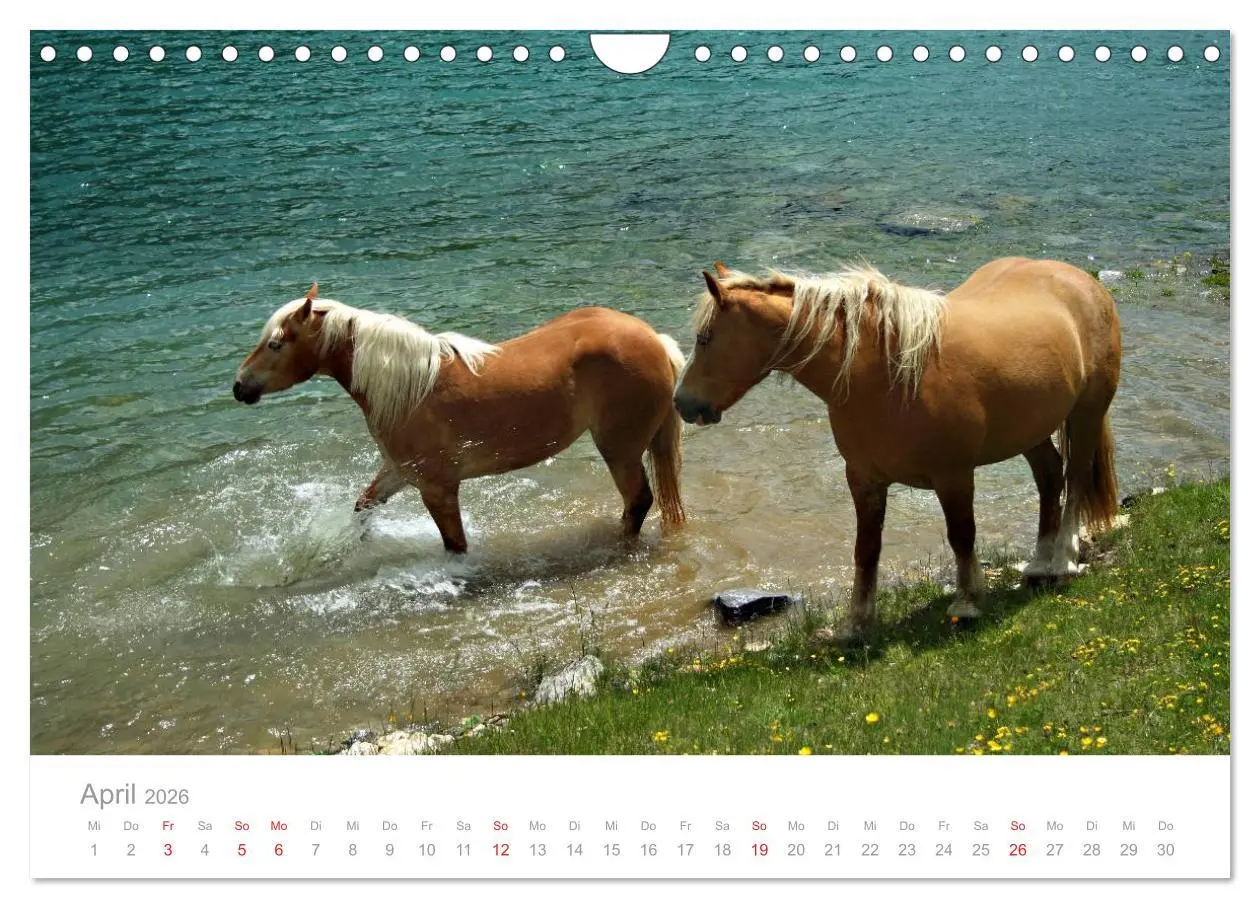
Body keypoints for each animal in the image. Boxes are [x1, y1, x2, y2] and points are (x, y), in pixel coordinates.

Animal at [233, 284, 686, 553]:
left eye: (275, 344)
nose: (239, 387)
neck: (412, 387)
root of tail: (654, 340)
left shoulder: (437, 488)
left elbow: (455, 546)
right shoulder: (398, 472)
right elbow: (363, 506)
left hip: (619, 449)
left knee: (638, 502)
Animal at [673, 257, 1122, 638]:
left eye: (705, 338)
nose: (682, 402)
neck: (888, 372)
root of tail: (1082, 281)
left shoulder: (953, 475)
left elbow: (962, 536)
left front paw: (967, 602)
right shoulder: (864, 479)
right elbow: (866, 550)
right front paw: (856, 622)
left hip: (1087, 412)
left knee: (1075, 479)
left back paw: (1062, 560)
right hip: (1031, 429)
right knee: (1049, 476)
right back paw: (1039, 562)